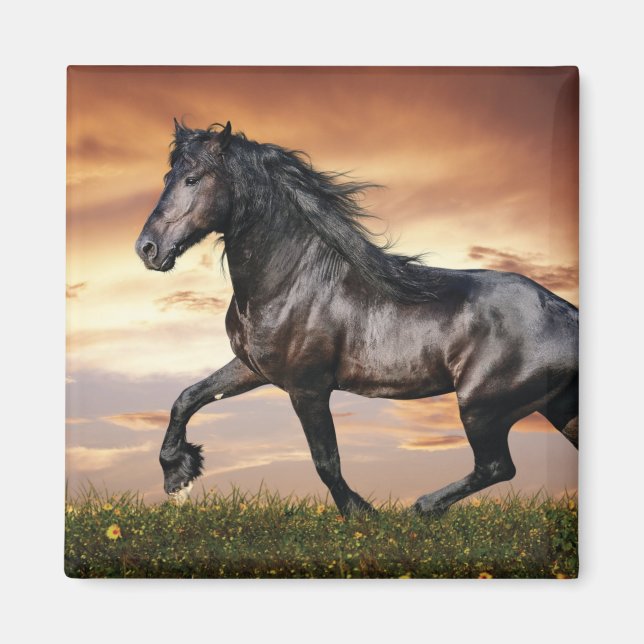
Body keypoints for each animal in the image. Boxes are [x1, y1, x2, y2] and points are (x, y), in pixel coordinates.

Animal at [135, 120, 579, 516]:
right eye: (167, 176)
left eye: (193, 179)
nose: (147, 248)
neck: (292, 280)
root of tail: (564, 312)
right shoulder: (252, 368)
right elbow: (187, 398)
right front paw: (178, 476)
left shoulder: (308, 389)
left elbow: (326, 462)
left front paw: (363, 514)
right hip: (557, 410)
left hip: (481, 407)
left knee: (496, 467)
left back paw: (421, 509)